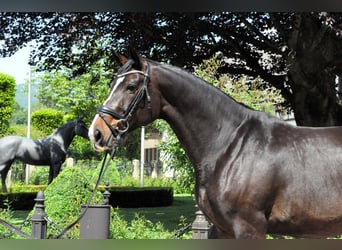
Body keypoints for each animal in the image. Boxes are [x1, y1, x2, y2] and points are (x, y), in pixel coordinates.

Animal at [88, 48, 342, 238]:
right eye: (111, 85)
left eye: (131, 87)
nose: (96, 133)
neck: (230, 146)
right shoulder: (223, 229)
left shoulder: (250, 228)